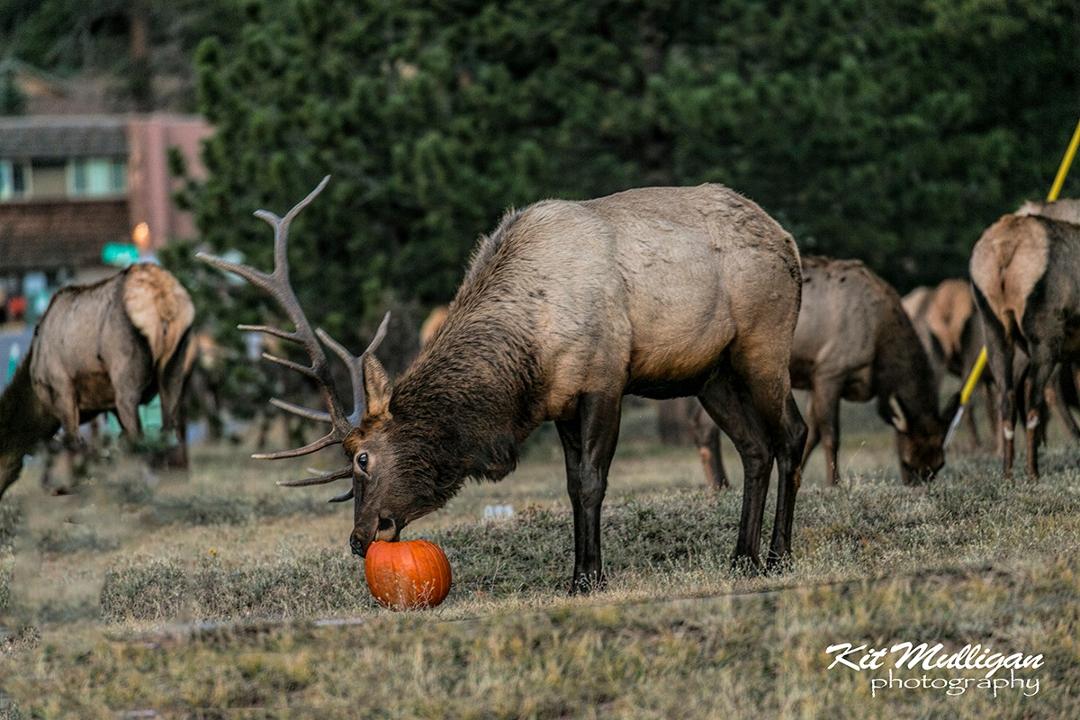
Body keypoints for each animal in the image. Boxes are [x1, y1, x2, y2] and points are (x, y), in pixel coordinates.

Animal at [0, 264, 195, 500]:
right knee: (165, 430)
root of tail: (161, 295)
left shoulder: (62, 388)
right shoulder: (108, 404)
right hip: (174, 369)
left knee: (139, 436)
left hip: (125, 376)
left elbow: (71, 442)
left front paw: (66, 485)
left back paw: (141, 486)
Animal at [199, 177, 808, 591]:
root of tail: (789, 238)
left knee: (793, 435)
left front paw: (588, 578)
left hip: (765, 341)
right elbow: (572, 485)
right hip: (711, 373)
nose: (359, 537)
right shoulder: (561, 401)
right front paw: (581, 569)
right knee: (754, 448)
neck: (526, 354)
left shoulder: (603, 378)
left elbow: (592, 481)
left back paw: (779, 555)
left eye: (363, 459)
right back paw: (742, 557)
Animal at [970, 211, 1080, 478]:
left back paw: (1008, 474)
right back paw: (1032, 472)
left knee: (1007, 395)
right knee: (1033, 395)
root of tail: (1006, 249)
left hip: (995, 331)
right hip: (1044, 337)